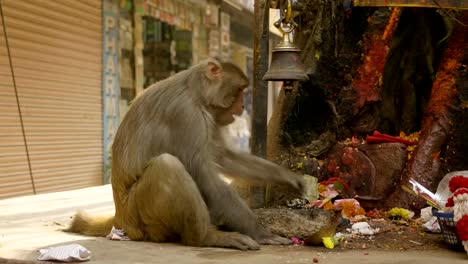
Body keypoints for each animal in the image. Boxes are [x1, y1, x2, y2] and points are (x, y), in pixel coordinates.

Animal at [67, 57, 306, 250]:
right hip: (138, 218)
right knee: (167, 165)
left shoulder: (210, 116)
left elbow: (222, 156)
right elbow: (205, 175)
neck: (196, 92)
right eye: (239, 90)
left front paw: (287, 177)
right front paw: (260, 232)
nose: (241, 107)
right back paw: (207, 237)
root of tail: (119, 216)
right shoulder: (185, 114)